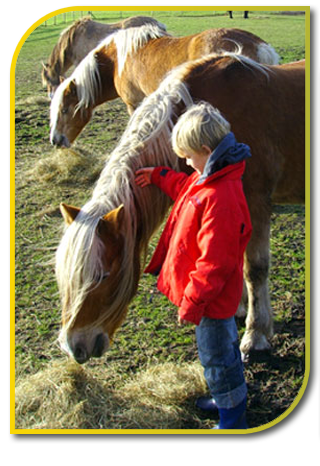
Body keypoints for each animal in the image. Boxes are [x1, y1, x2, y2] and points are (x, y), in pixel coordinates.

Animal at [55, 54, 304, 364]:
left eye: (102, 276)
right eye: (63, 278)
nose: (74, 347)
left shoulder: (256, 203)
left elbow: (254, 270)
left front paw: (255, 335)